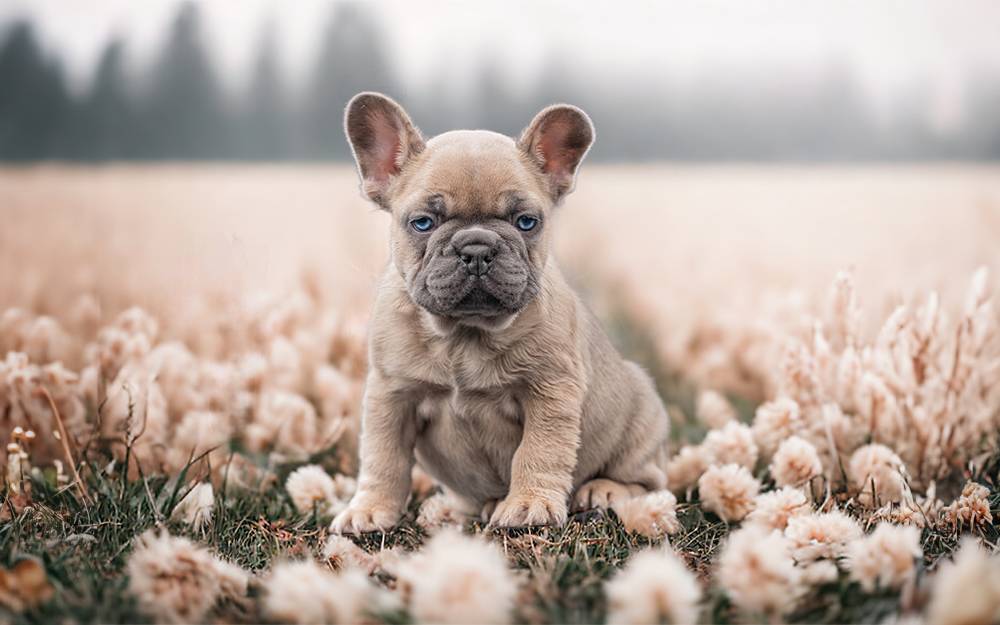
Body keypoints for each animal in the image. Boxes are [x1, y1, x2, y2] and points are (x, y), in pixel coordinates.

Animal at [332, 92, 668, 532]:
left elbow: (538, 451)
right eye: (422, 223)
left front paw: (529, 505)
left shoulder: (551, 391)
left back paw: (604, 490)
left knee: (647, 481)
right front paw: (370, 509)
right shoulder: (391, 394)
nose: (477, 248)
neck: (464, 334)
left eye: (526, 222)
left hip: (640, 414)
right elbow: (383, 457)